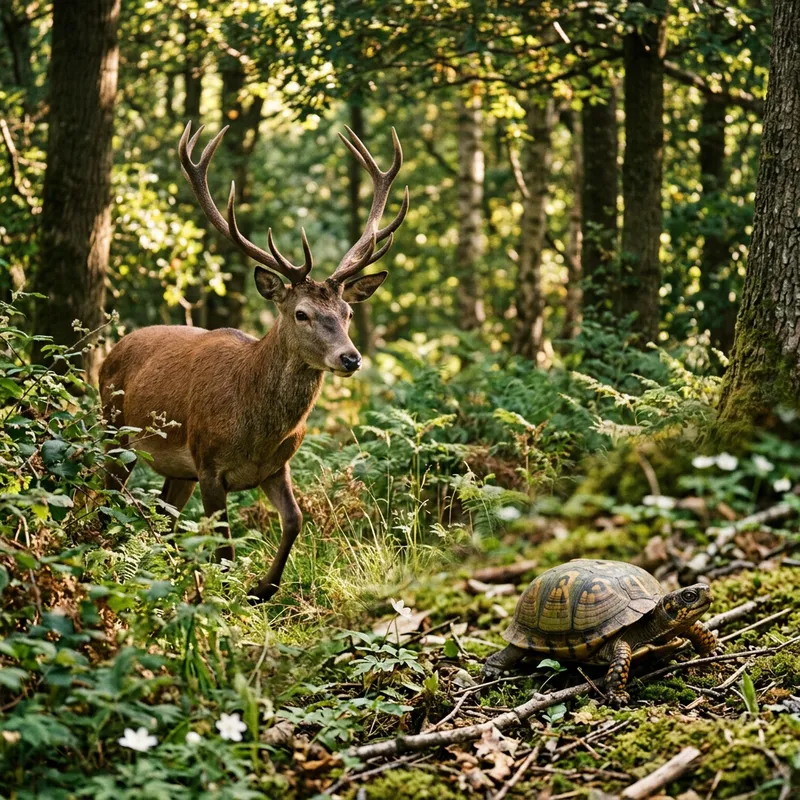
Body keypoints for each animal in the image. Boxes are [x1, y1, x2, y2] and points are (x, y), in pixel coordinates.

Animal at [99, 120, 409, 602]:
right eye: (301, 313)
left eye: (347, 312)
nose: (351, 358)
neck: (256, 429)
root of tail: (110, 352)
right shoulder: (210, 466)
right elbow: (224, 549)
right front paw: (225, 602)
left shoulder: (275, 466)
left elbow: (295, 520)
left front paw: (262, 588)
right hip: (114, 430)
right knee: (103, 499)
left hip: (176, 469)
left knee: (165, 520)